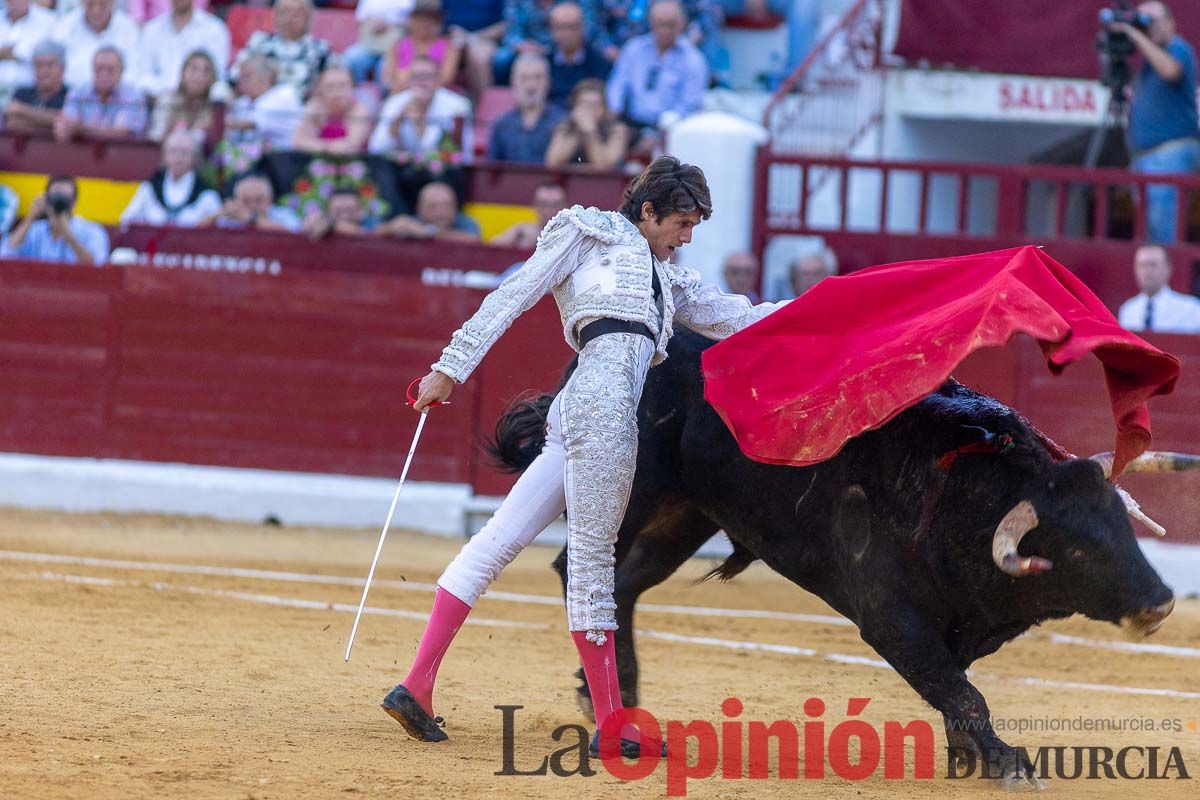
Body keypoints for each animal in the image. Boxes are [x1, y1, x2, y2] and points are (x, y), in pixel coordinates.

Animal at [489, 328, 1180, 786]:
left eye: (1123, 527)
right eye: (1077, 546)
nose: (1161, 601)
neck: (966, 494)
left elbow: (955, 687)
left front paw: (971, 755)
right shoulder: (889, 617)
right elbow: (960, 690)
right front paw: (1006, 762)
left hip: (687, 514)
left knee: (627, 583)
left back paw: (617, 697)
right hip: (630, 489)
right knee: (582, 573)